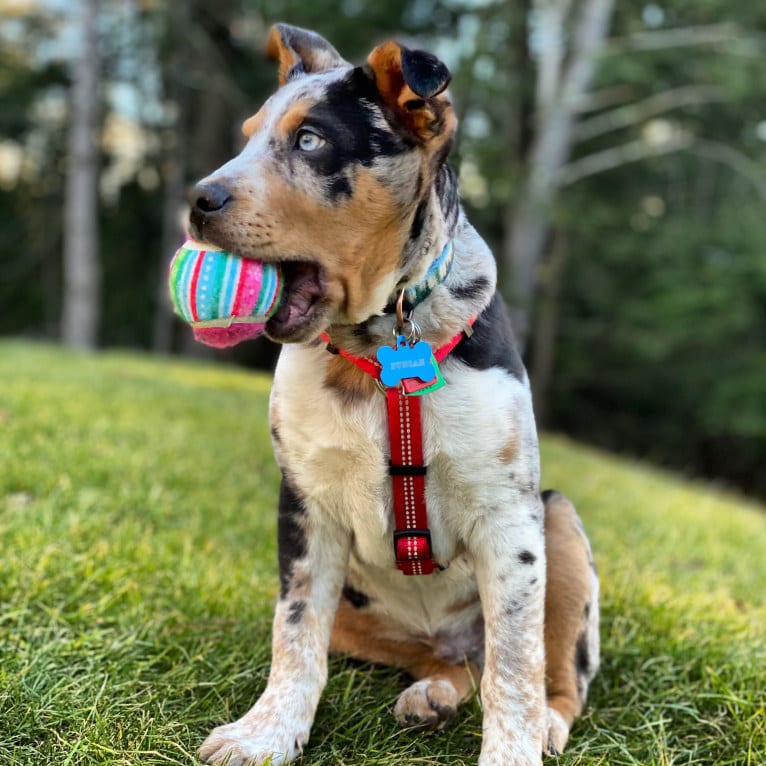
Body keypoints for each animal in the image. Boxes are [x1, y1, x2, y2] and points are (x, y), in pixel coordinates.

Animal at [189, 24, 604, 766]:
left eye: (311, 141)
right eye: (247, 137)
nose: (198, 201)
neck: (380, 344)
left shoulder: (511, 520)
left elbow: (515, 666)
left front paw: (515, 748)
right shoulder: (305, 508)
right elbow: (294, 634)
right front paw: (267, 733)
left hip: (559, 528)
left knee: (545, 672)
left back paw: (545, 721)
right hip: (362, 613)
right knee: (435, 658)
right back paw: (433, 692)